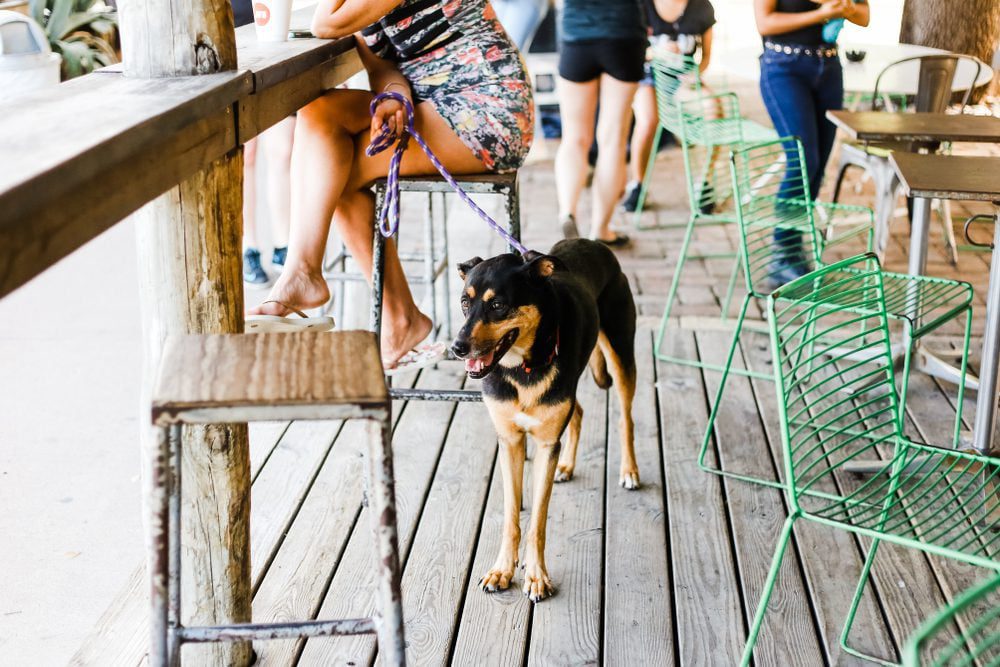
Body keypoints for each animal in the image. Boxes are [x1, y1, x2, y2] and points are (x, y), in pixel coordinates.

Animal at [456, 239, 640, 600]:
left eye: (498, 305)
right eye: (464, 302)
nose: (457, 347)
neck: (522, 368)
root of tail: (593, 243)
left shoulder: (544, 445)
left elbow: (537, 522)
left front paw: (537, 575)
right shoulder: (511, 441)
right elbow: (512, 516)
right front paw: (502, 569)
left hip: (621, 355)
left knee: (626, 419)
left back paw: (629, 470)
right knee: (578, 411)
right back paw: (567, 465)